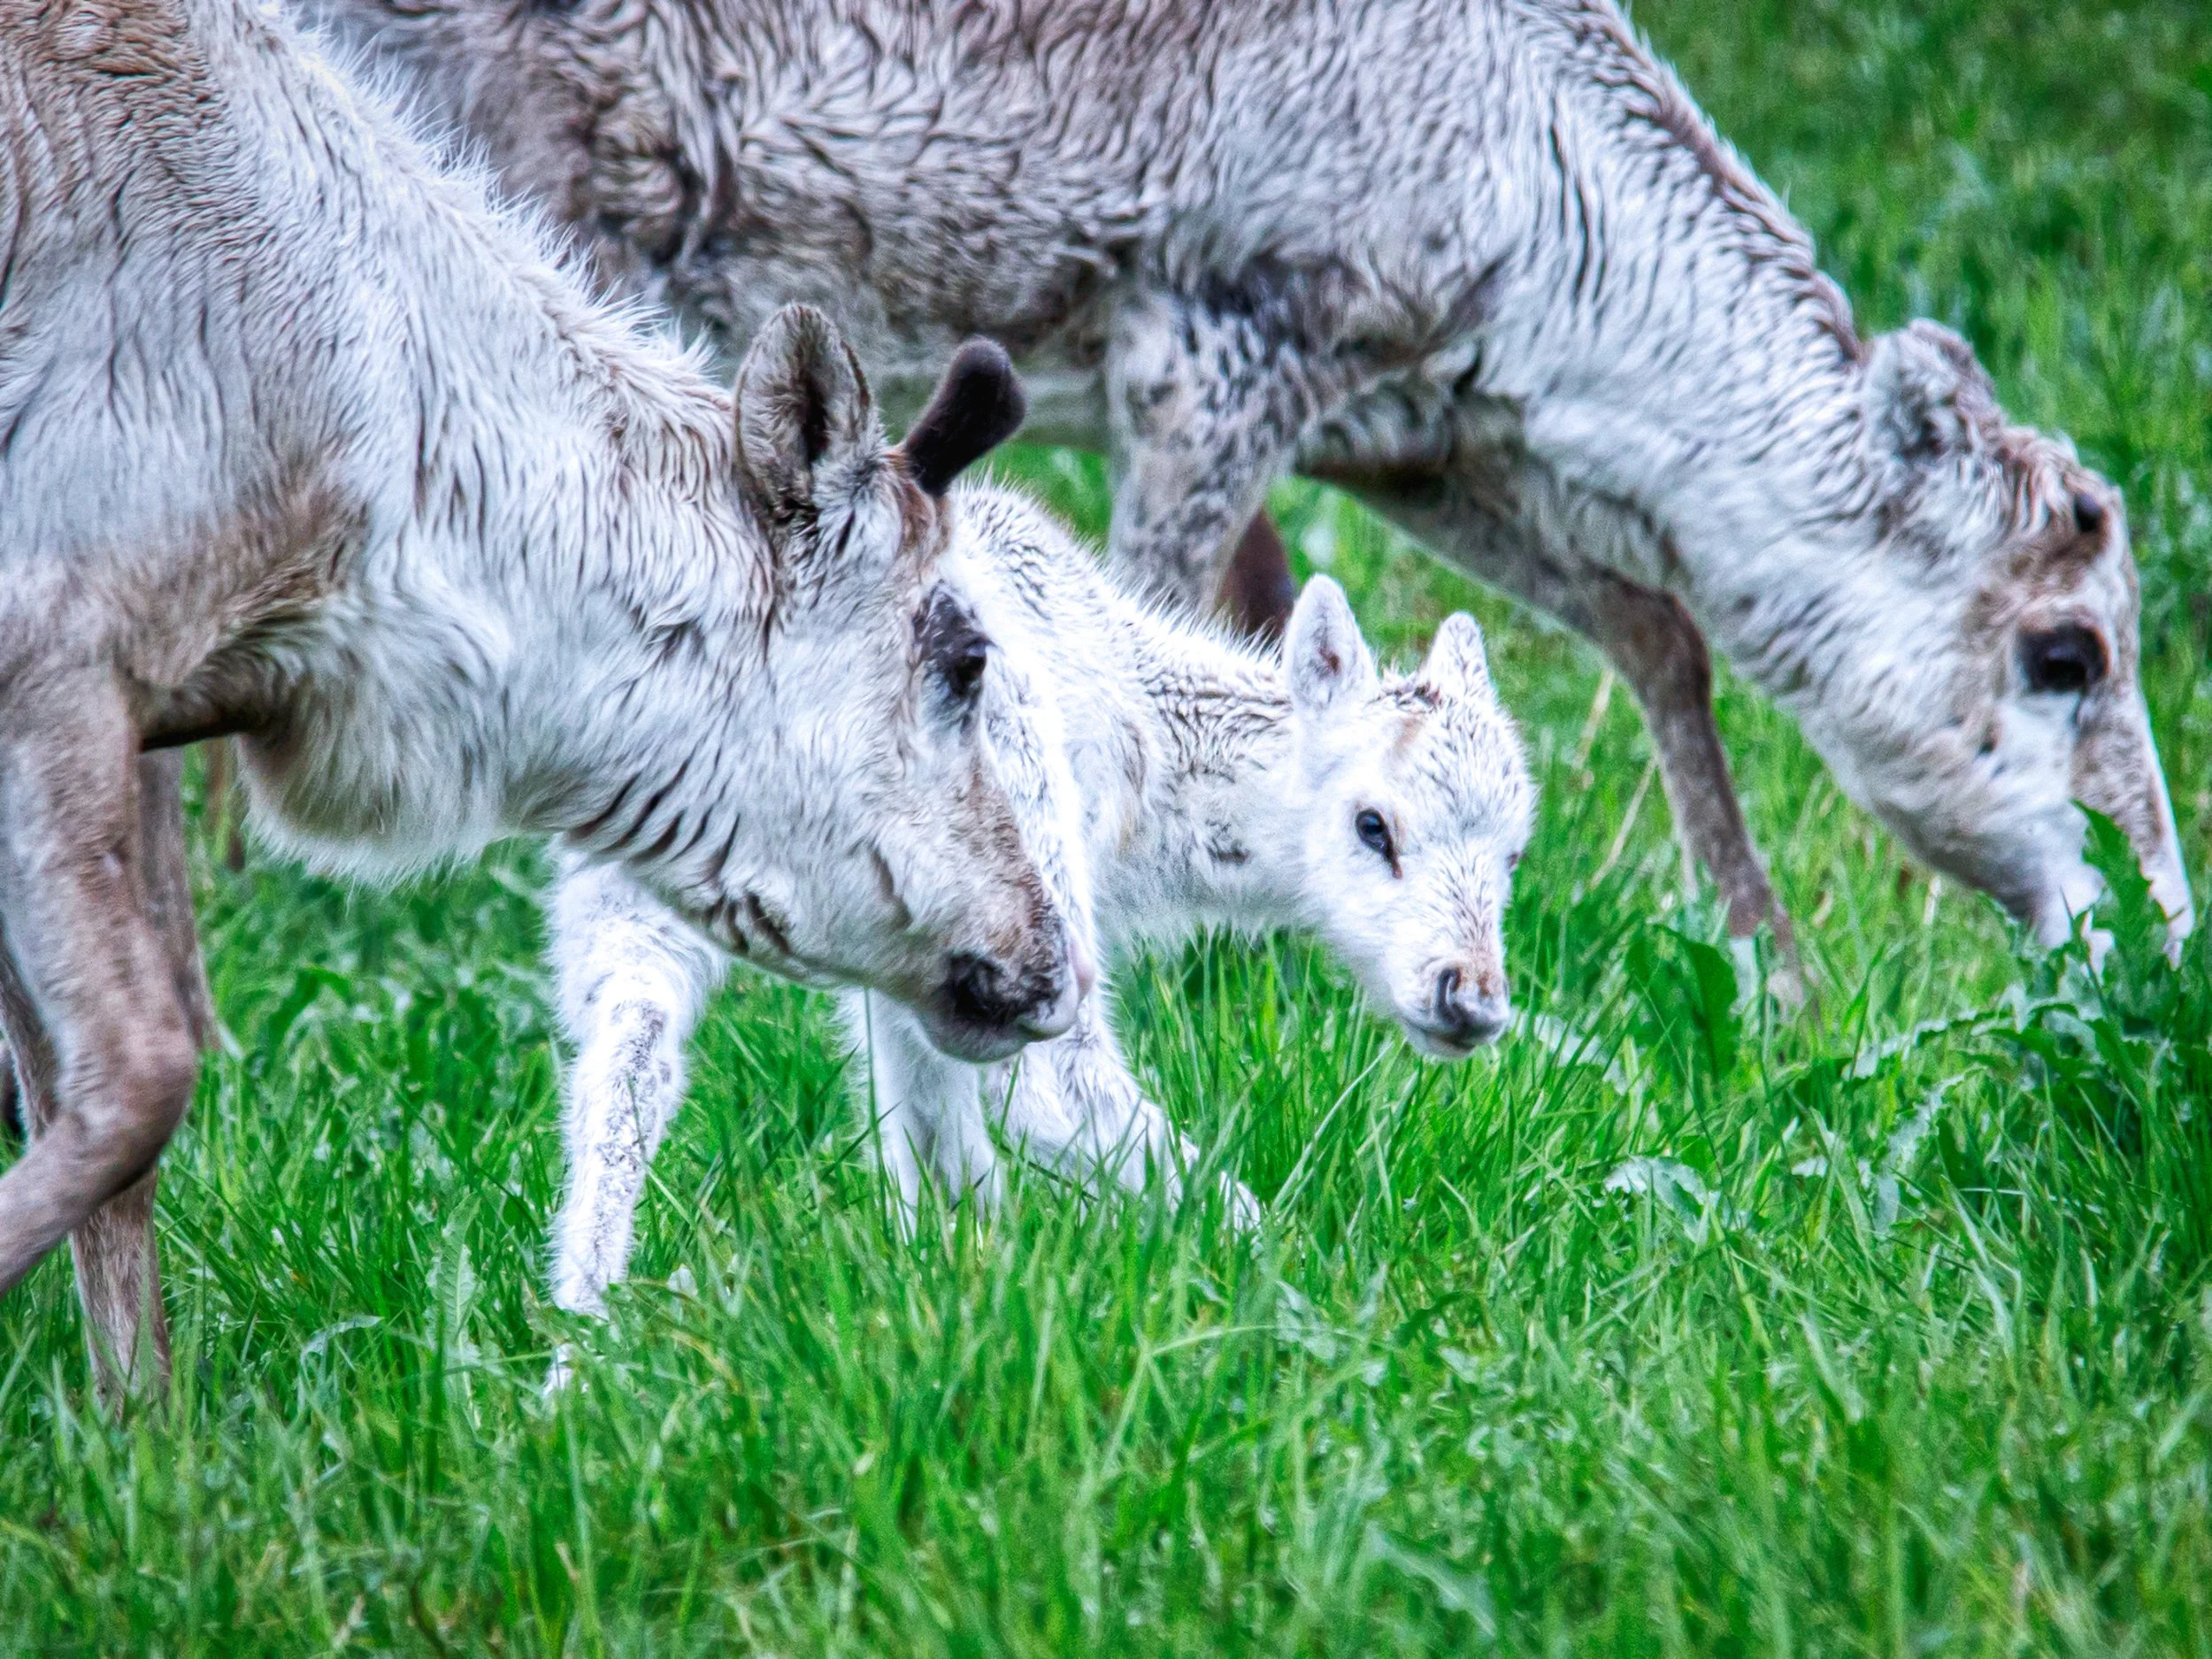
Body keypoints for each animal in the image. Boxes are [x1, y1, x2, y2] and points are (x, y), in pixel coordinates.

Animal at [0, 0, 1080, 1404]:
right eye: (962, 662)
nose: (1053, 966)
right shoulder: (55, 652)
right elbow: (139, 1080)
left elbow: (100, 1126)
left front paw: (143, 1429)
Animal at [316, 0, 2195, 986]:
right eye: (2064, 654)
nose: (2154, 927)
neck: (1541, 226)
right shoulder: (1222, 345)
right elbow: (1153, 616)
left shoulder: (1416, 428)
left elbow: (1649, 627)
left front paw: (1772, 967)